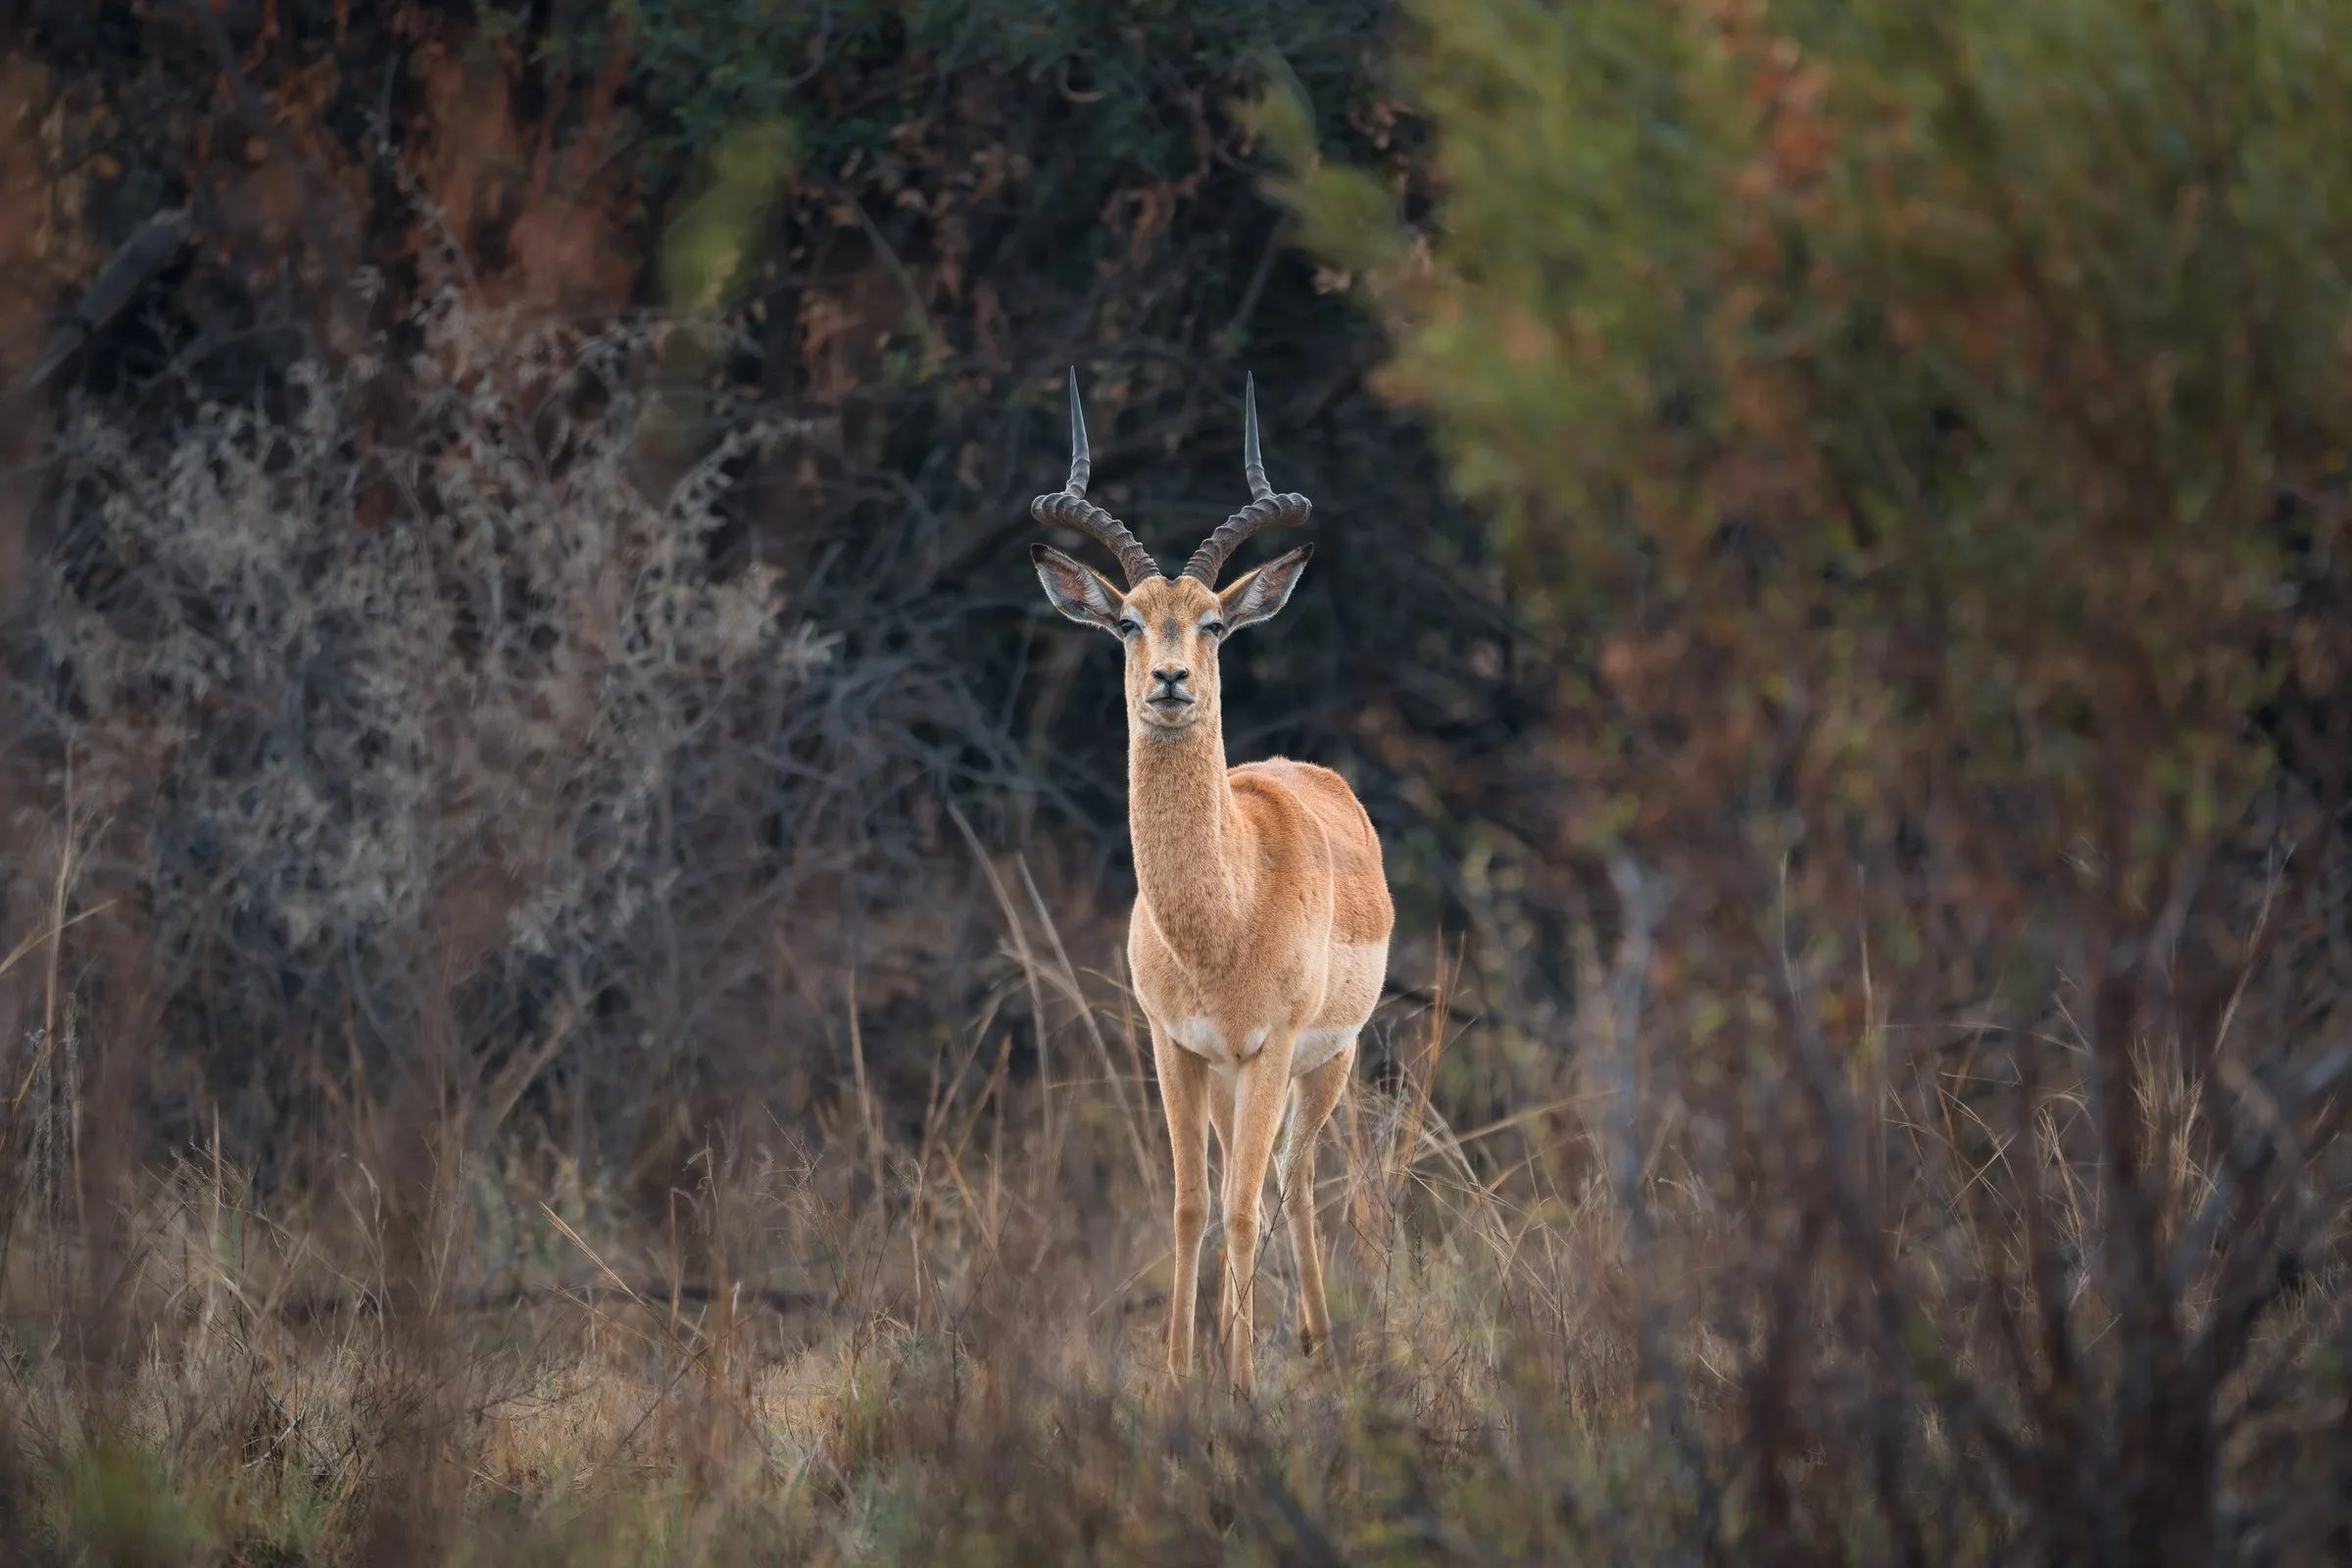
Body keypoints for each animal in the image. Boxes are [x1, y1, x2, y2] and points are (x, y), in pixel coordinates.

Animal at [1030, 372, 1394, 1393]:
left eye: (1215, 623)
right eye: (1126, 620)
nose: (1169, 680)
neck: (1222, 915)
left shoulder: (1269, 1049)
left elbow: (1237, 1208)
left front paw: (1236, 1381)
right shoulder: (1176, 1046)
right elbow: (1193, 1205)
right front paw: (1181, 1377)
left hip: (1326, 1063)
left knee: (1295, 1185)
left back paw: (1315, 1345)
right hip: (1237, 1081)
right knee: (1259, 1183)